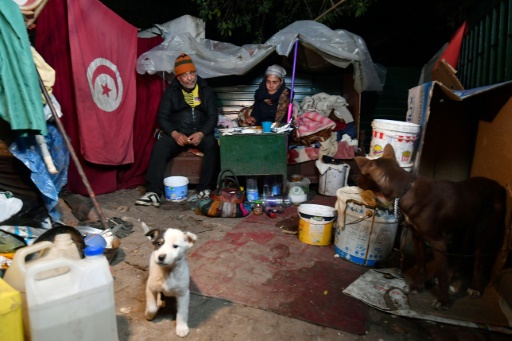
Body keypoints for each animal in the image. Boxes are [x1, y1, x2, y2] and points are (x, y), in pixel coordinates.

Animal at [354, 143, 506, 308]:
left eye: (363, 175)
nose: (355, 179)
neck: (406, 189)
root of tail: (498, 186)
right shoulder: (418, 237)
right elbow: (421, 266)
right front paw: (417, 287)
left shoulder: (438, 242)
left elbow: (442, 274)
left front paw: (444, 301)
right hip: (462, 228)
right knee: (460, 255)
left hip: (482, 231)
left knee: (479, 259)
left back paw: (475, 287)